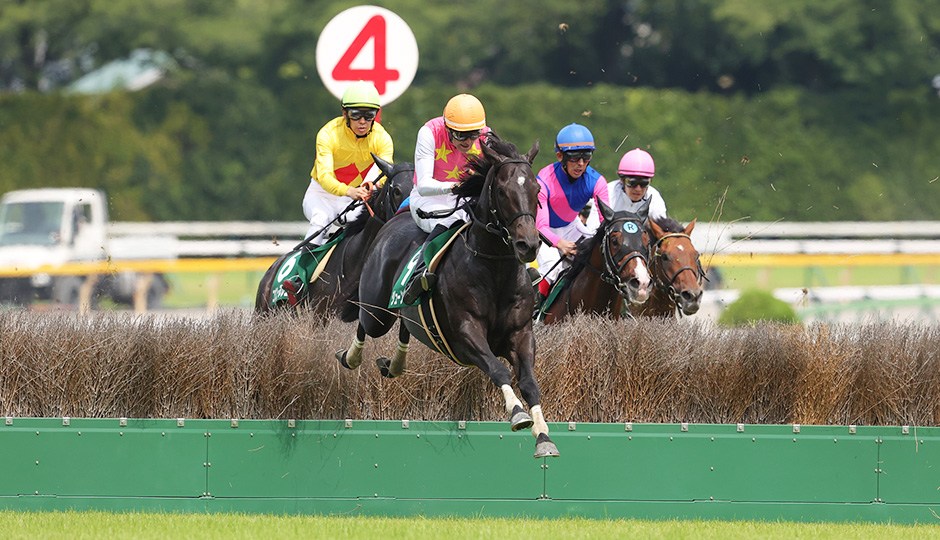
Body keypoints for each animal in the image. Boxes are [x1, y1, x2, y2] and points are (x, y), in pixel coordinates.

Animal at [335, 136, 560, 459]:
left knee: (405, 325)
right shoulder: (465, 333)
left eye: (536, 190)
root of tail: (398, 216)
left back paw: (395, 364)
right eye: (502, 190)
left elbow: (530, 383)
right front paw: (517, 413)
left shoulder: (521, 333)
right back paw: (350, 356)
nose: (527, 244)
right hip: (377, 309)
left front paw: (543, 436)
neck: (494, 269)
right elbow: (498, 369)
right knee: (366, 324)